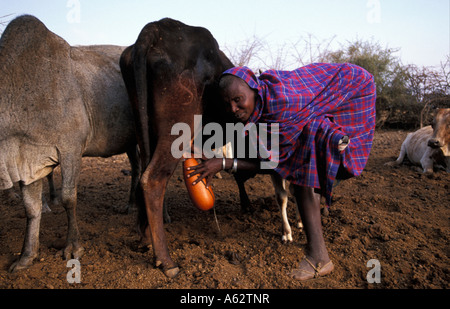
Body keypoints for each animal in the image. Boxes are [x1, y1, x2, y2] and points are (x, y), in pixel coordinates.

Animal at [120, 18, 232, 278]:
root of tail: (157, 27)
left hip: (143, 122)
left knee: (144, 171)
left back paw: (145, 239)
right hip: (178, 125)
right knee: (153, 178)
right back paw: (166, 260)